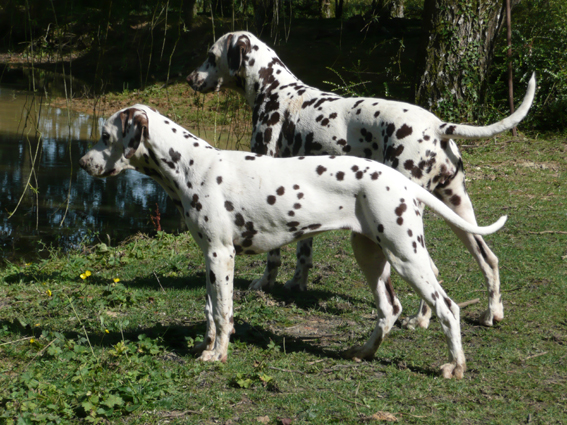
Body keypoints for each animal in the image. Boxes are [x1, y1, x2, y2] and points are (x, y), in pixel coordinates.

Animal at [79, 105, 507, 379]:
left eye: (105, 135)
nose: (83, 163)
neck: (191, 166)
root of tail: (401, 181)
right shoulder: (209, 257)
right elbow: (210, 311)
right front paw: (206, 346)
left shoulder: (222, 255)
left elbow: (224, 312)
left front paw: (218, 355)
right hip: (370, 256)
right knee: (390, 309)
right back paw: (361, 352)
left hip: (406, 258)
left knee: (448, 308)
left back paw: (455, 366)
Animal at [187, 31, 535, 329]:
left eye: (210, 55)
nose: (190, 78)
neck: (277, 90)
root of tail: (437, 127)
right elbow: (304, 253)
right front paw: (297, 285)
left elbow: (274, 257)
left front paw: (264, 284)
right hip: (458, 210)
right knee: (488, 259)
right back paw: (492, 312)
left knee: (433, 272)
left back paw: (420, 320)